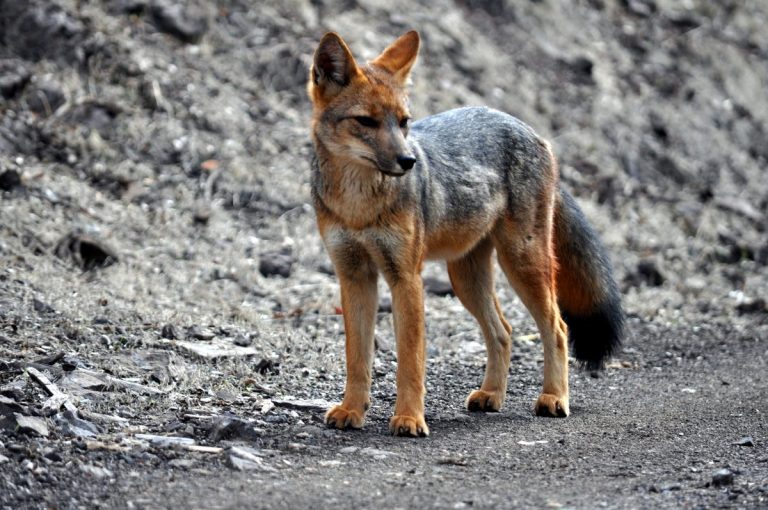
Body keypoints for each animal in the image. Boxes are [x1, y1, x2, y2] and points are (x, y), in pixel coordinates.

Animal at [308, 29, 624, 436]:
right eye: (366, 121)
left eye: (404, 122)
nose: (408, 161)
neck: (358, 206)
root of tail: (530, 130)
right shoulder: (354, 277)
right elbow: (357, 359)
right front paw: (352, 410)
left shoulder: (405, 278)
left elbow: (410, 361)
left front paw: (409, 418)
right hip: (466, 278)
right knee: (503, 331)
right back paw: (492, 395)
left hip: (522, 264)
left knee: (557, 326)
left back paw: (554, 398)